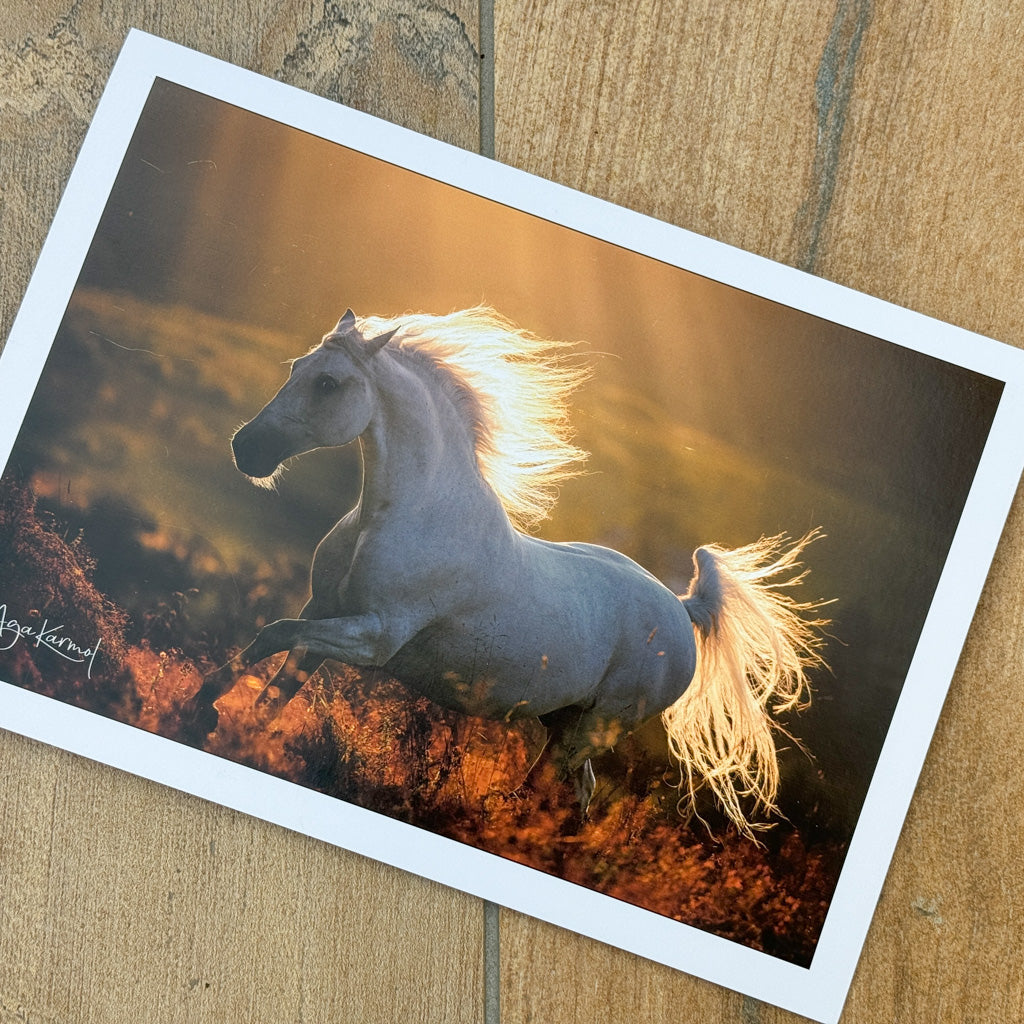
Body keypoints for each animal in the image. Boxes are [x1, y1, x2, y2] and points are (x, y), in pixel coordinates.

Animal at [185, 307, 828, 835]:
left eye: (327, 383)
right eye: (297, 367)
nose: (246, 450)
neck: (407, 515)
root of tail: (682, 607)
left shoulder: (374, 637)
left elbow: (277, 635)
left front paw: (210, 712)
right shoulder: (326, 612)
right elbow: (276, 661)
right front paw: (214, 715)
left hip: (599, 726)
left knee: (558, 787)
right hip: (564, 719)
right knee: (576, 790)